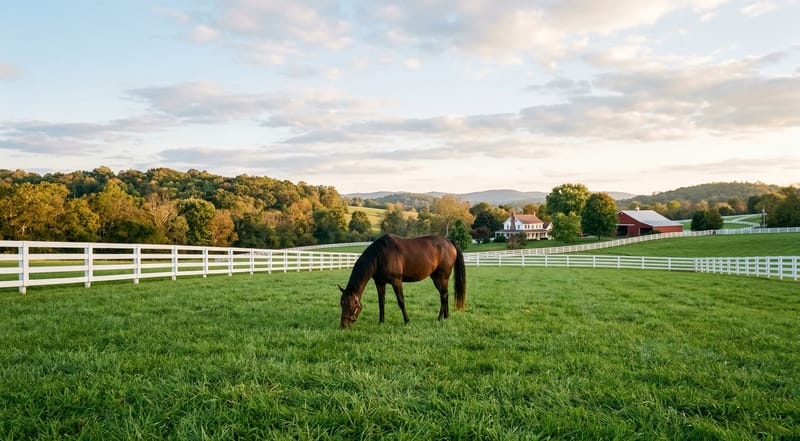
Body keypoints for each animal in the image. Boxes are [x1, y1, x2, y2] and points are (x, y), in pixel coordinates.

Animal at [338, 234, 466, 328]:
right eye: (341, 304)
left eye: (350, 305)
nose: (343, 325)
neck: (379, 255)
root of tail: (449, 242)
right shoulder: (380, 282)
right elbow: (381, 302)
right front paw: (381, 322)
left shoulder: (396, 281)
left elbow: (401, 302)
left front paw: (407, 321)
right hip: (436, 277)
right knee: (445, 294)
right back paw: (446, 316)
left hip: (442, 277)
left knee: (443, 296)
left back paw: (439, 318)